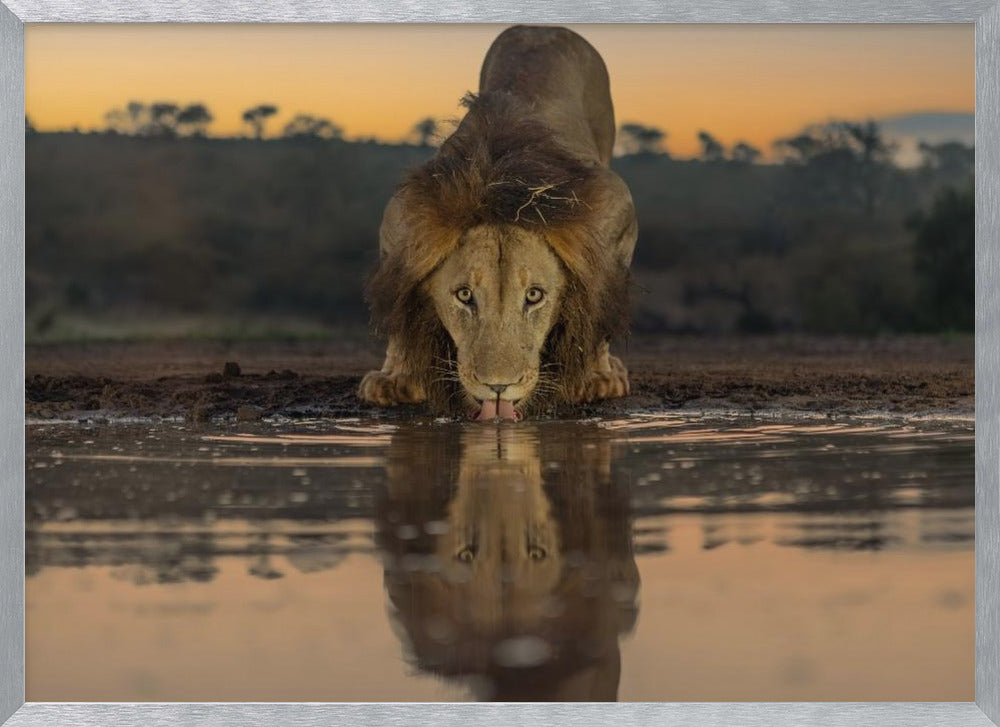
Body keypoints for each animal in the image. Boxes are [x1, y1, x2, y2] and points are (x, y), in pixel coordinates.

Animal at [364, 25, 636, 420]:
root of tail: (542, 27)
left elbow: (602, 304)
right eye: (464, 295)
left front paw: (596, 378)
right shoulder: (399, 225)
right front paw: (395, 379)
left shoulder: (616, 214)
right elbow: (398, 307)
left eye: (535, 296)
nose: (497, 388)